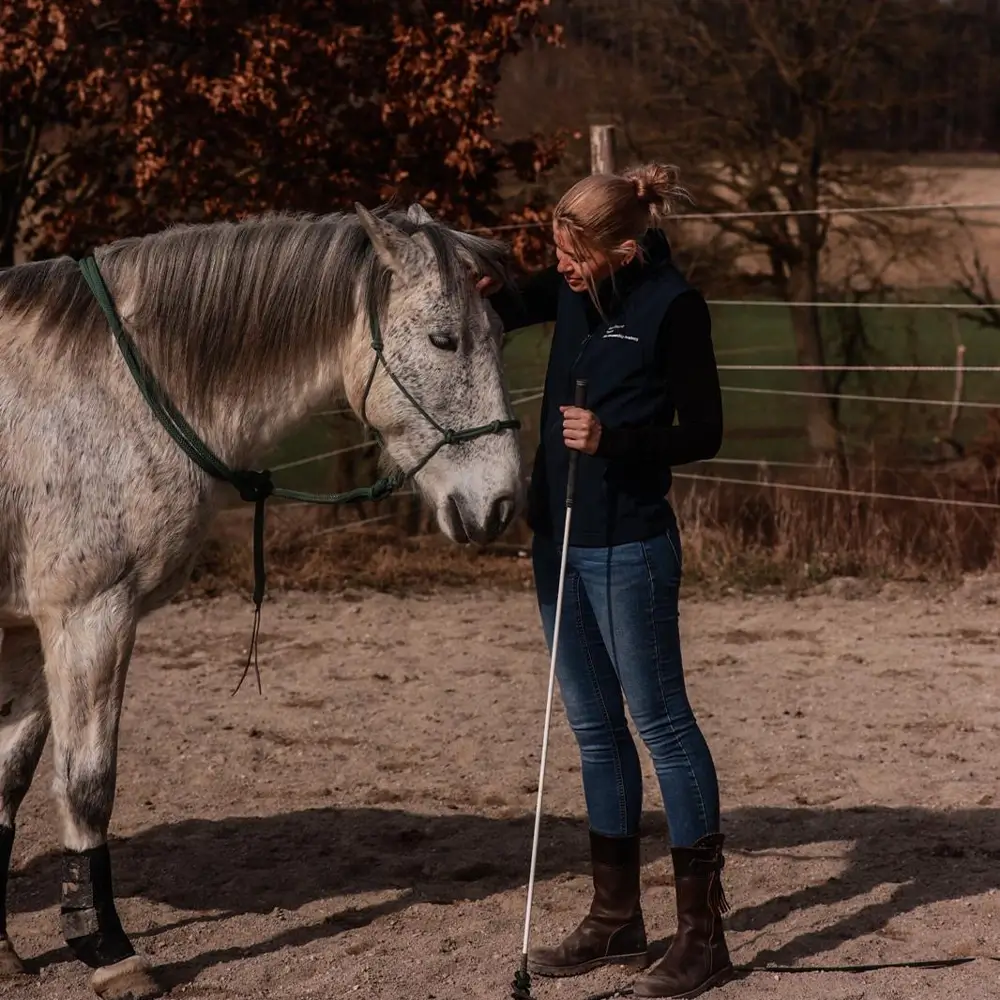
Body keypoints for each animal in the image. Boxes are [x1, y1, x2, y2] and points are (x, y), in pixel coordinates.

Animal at [0, 201, 523, 998]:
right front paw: (110, 952)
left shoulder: (31, 629)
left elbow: (7, 782)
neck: (99, 393)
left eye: (499, 335)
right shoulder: (88, 616)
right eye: (446, 338)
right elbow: (88, 785)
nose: (497, 505)